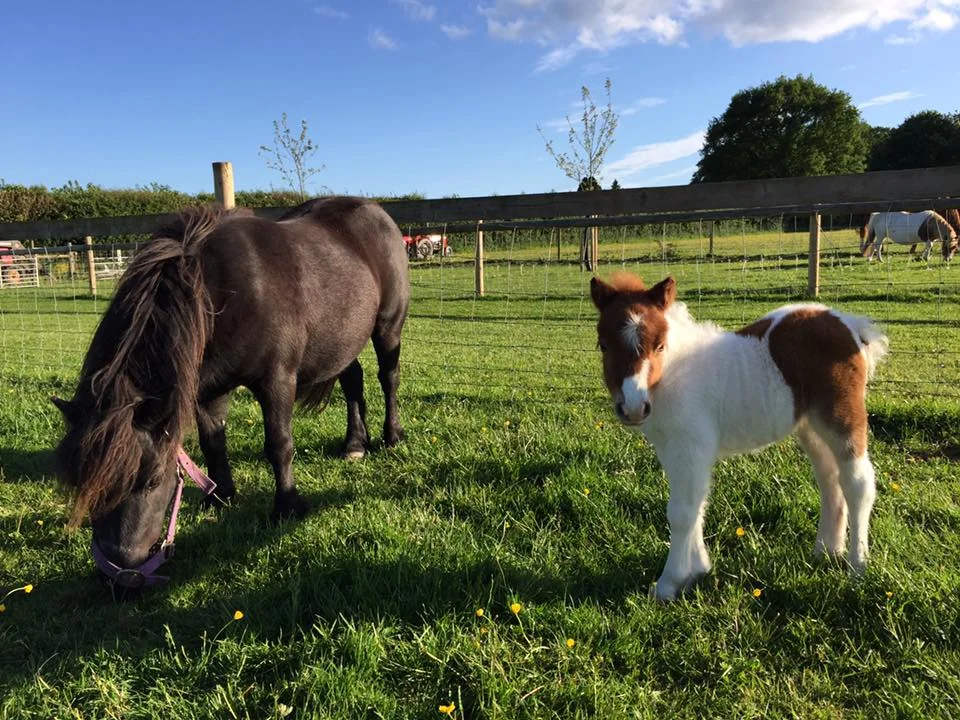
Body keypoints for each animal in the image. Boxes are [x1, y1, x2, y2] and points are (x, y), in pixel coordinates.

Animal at [52, 196, 410, 587]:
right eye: (83, 485)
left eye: (154, 479)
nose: (120, 576)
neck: (219, 293)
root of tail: (375, 211)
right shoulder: (208, 389)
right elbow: (212, 442)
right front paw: (221, 496)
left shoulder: (276, 380)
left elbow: (279, 445)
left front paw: (287, 506)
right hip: (342, 336)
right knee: (353, 380)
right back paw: (355, 444)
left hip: (387, 327)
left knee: (388, 377)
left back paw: (392, 436)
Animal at [590, 272, 889, 602]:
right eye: (603, 345)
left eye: (660, 345)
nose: (633, 408)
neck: (673, 374)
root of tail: (849, 324)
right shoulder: (673, 449)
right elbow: (697, 504)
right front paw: (698, 571)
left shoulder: (690, 448)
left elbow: (682, 512)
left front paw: (669, 583)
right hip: (811, 427)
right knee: (829, 480)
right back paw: (826, 551)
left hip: (842, 418)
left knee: (858, 484)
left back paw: (857, 568)